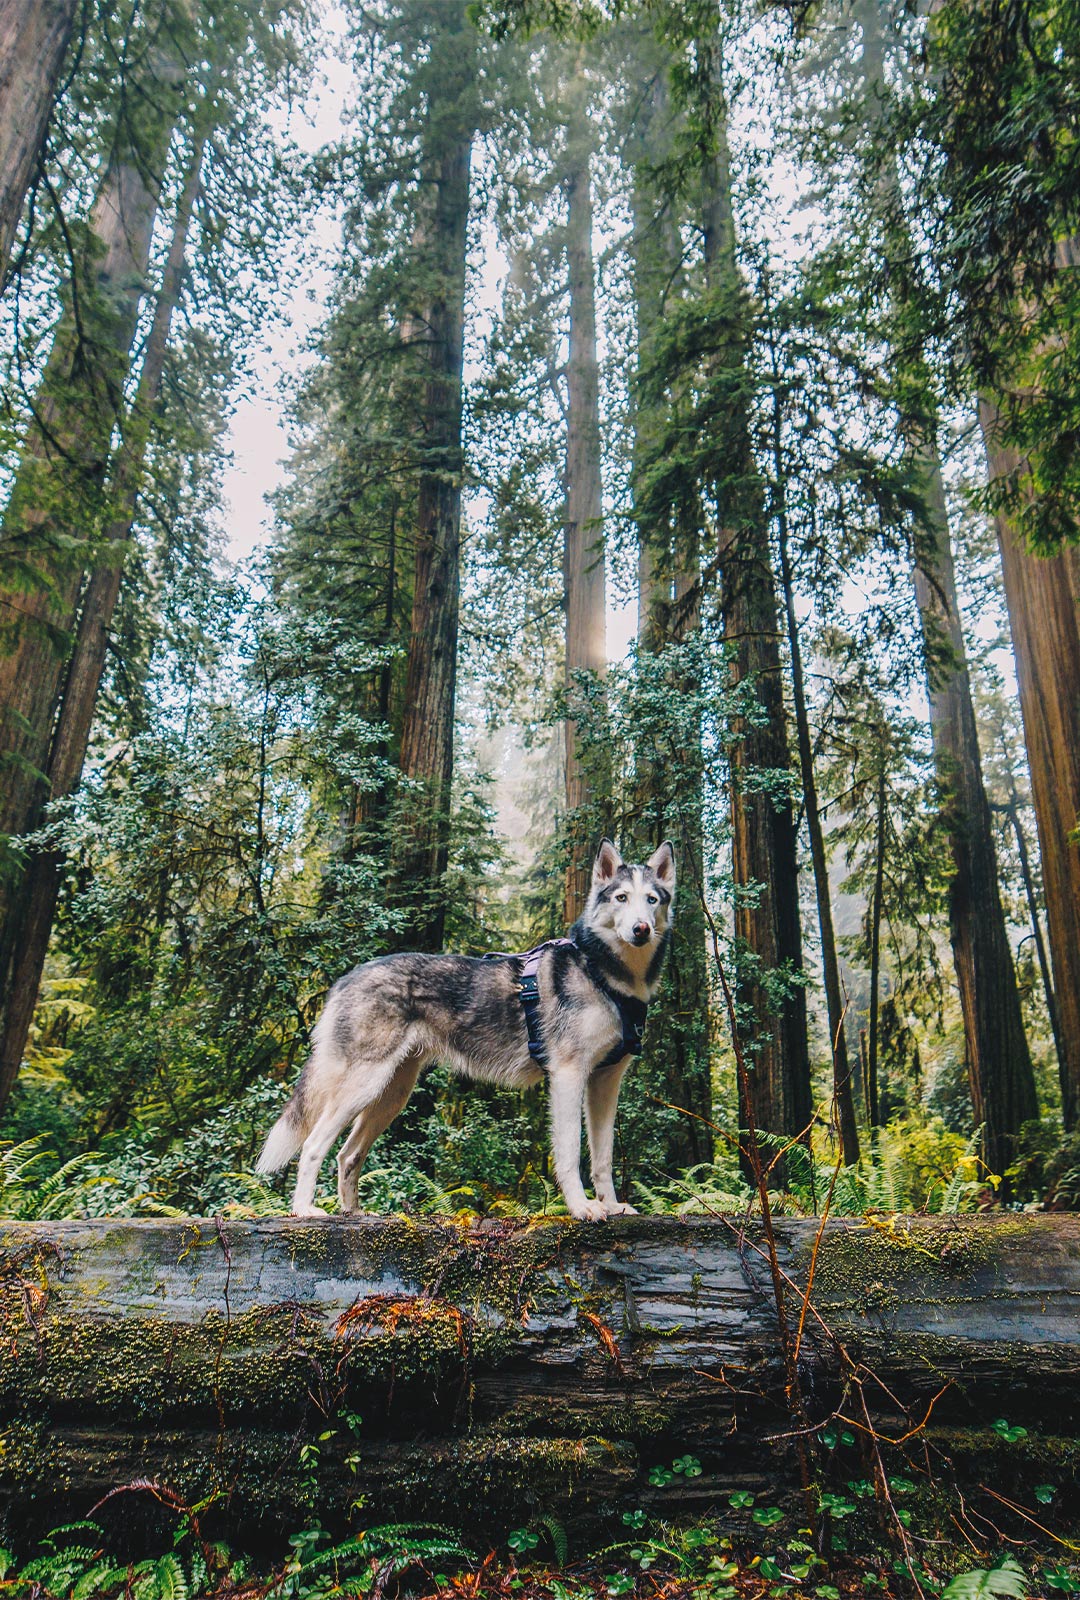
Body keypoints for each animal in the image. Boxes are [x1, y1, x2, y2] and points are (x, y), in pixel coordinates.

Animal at [256, 838, 675, 1209]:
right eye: (621, 898)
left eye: (652, 900)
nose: (640, 929)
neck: (605, 974)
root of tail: (348, 977)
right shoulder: (569, 1076)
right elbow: (571, 1155)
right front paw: (582, 1209)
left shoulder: (605, 1082)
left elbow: (603, 1159)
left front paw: (614, 1207)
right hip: (363, 1086)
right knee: (312, 1146)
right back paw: (305, 1211)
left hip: (390, 1095)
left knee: (347, 1155)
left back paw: (353, 1214)